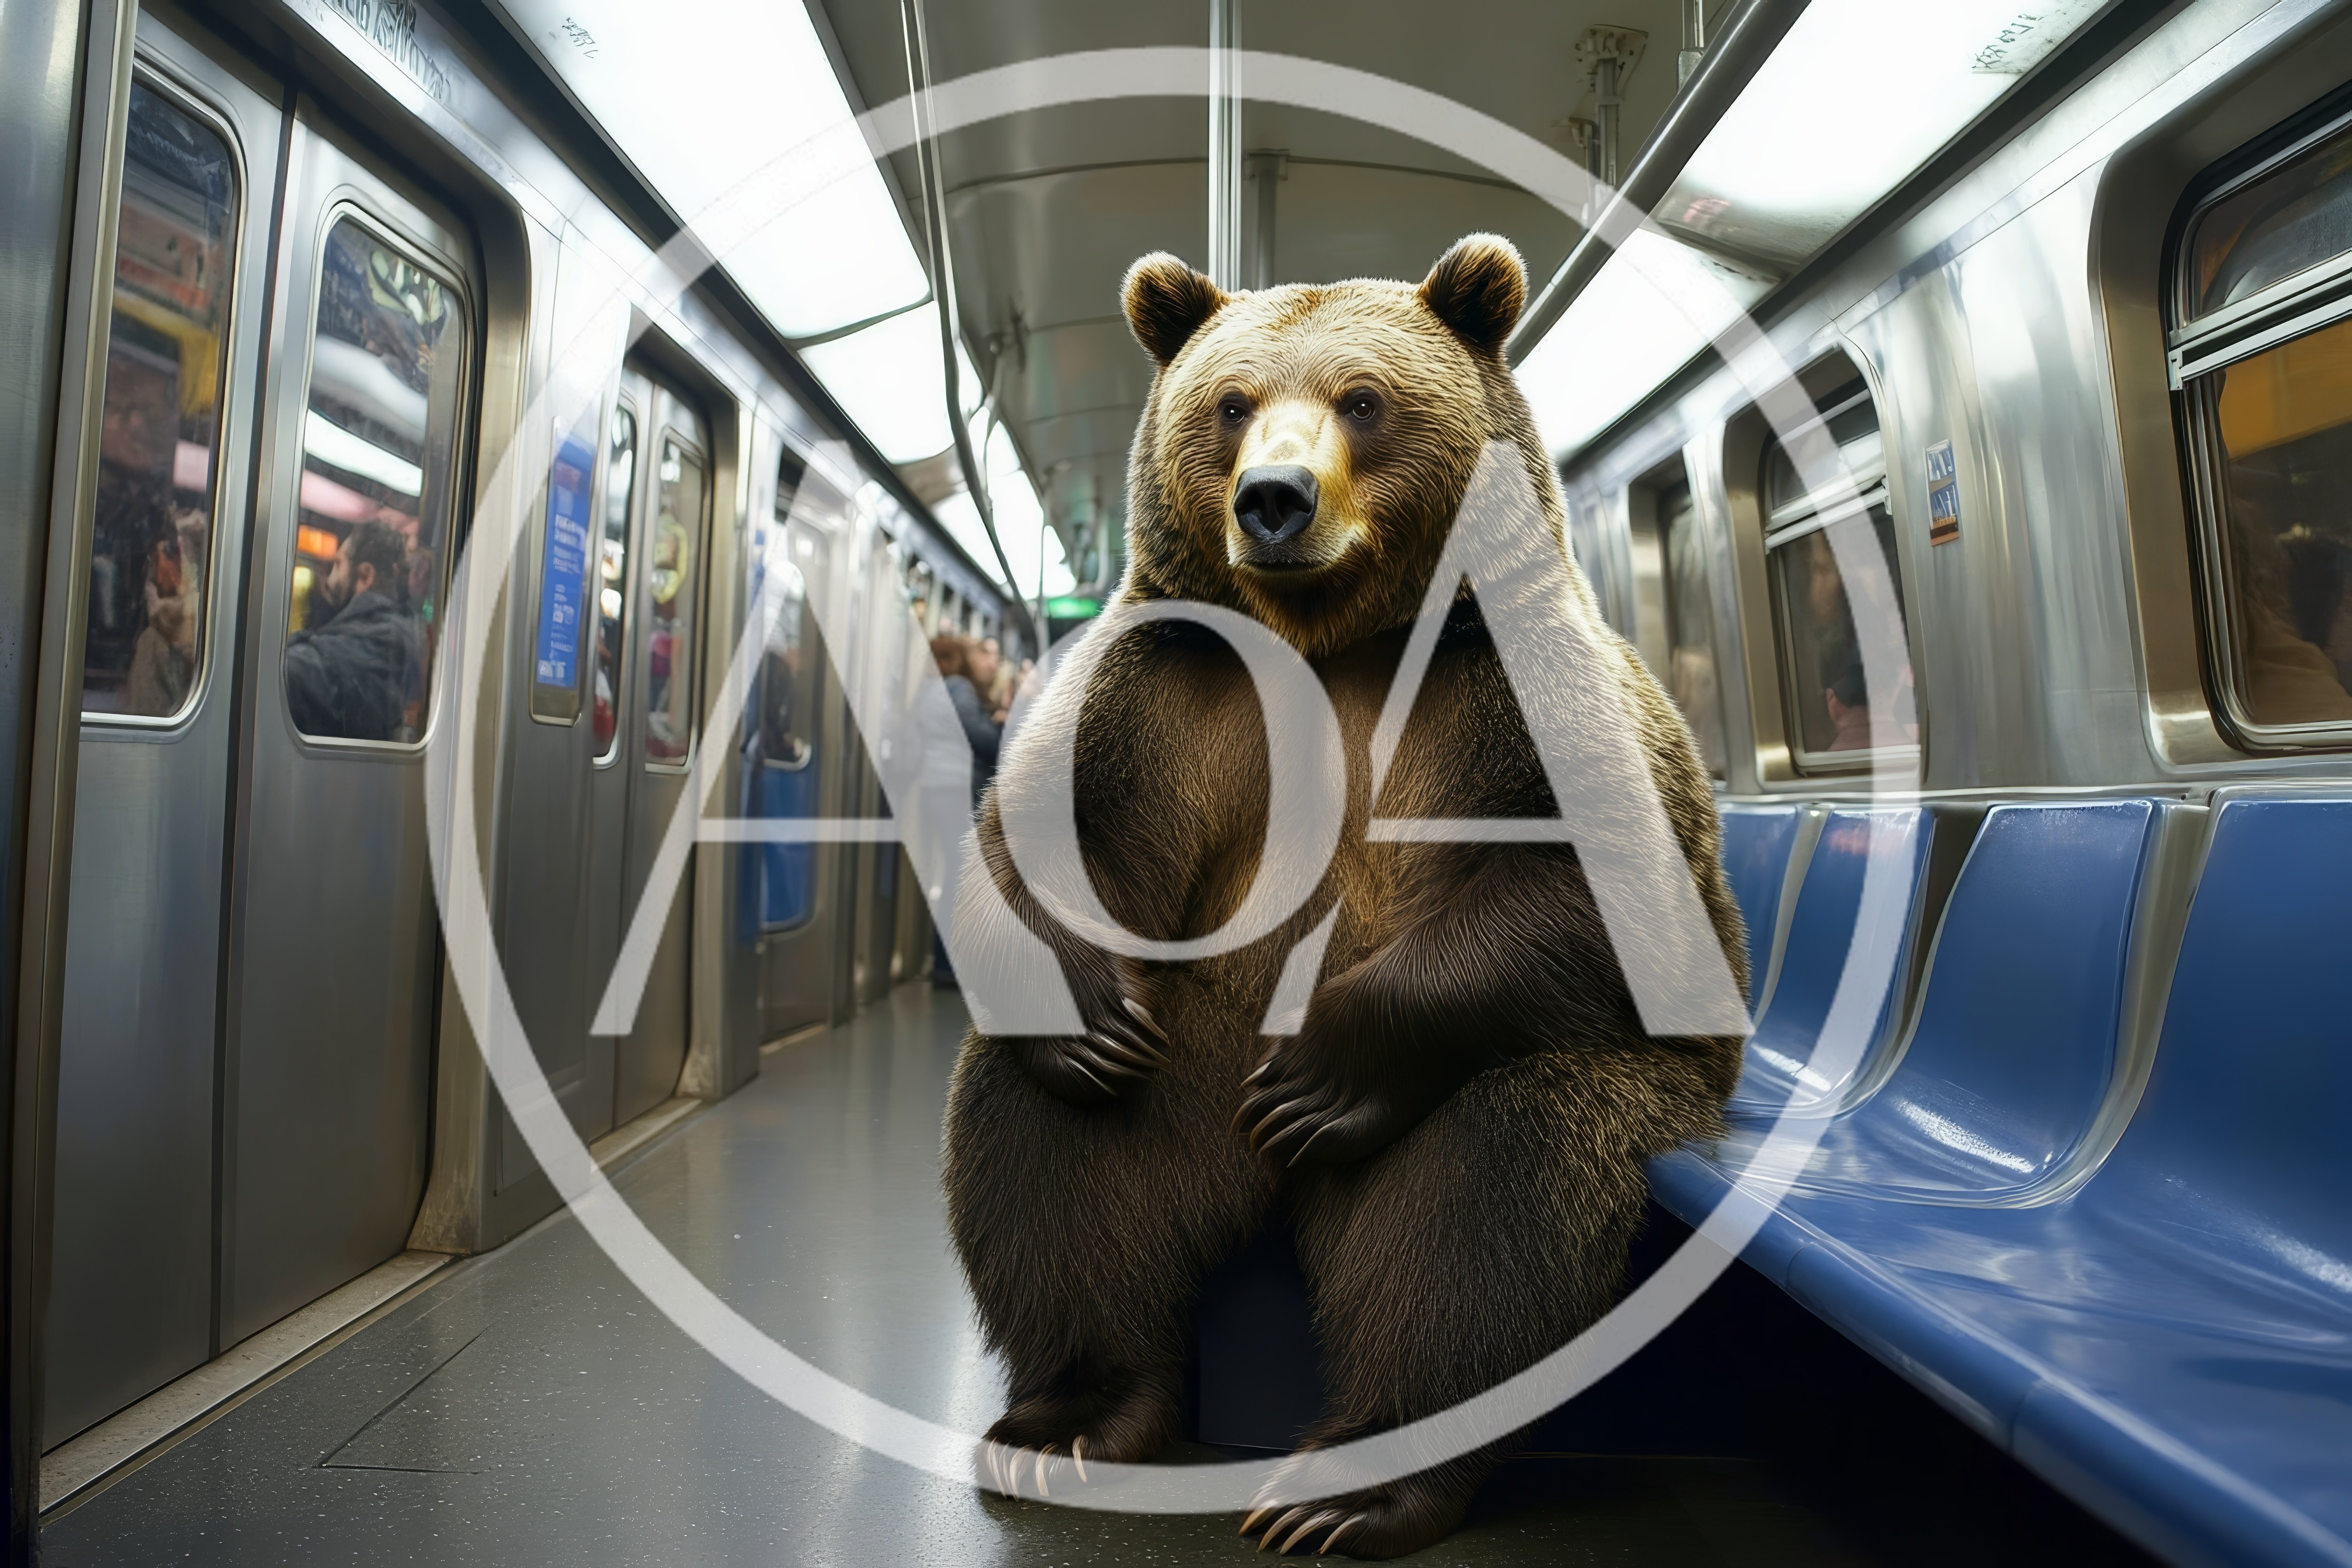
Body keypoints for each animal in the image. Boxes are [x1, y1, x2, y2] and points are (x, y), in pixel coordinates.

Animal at [939, 234, 1747, 1559]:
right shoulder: (1165, 690)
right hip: (1190, 1059)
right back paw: (1074, 1415)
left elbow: (1600, 884)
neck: (1326, 643)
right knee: (1047, 1142)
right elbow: (1057, 842)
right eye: (1230, 403)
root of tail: (1260, 1184)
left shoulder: (1504, 685)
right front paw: (1087, 1011)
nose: (1274, 499)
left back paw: (1358, 1476)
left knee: (1490, 1183)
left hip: (1603, 1086)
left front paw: (1330, 1061)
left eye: (1362, 398)